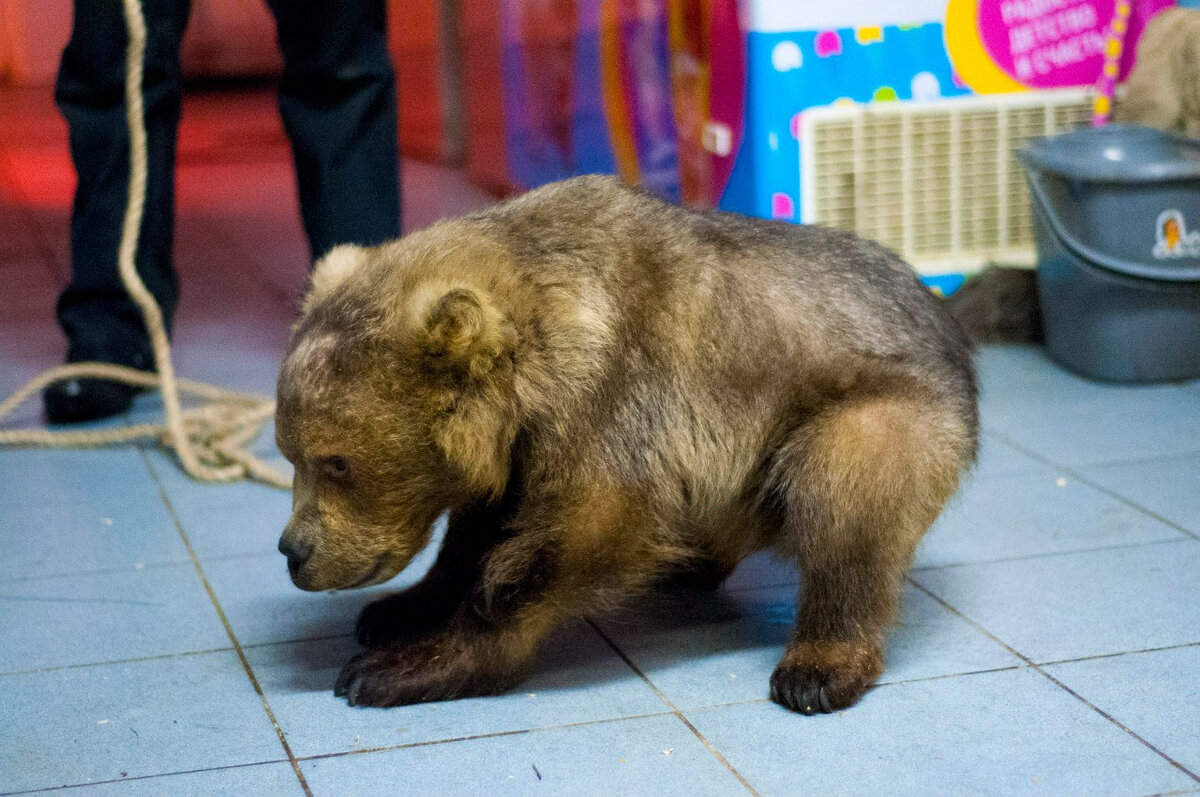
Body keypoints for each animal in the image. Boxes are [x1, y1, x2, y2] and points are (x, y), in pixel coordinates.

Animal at [276, 174, 979, 715]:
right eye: (291, 453)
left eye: (337, 463)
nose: (294, 552)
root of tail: (945, 317)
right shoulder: (526, 448)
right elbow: (481, 530)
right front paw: (399, 609)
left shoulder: (617, 400)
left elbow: (576, 534)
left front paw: (410, 664)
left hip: (876, 408)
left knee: (846, 504)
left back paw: (817, 665)